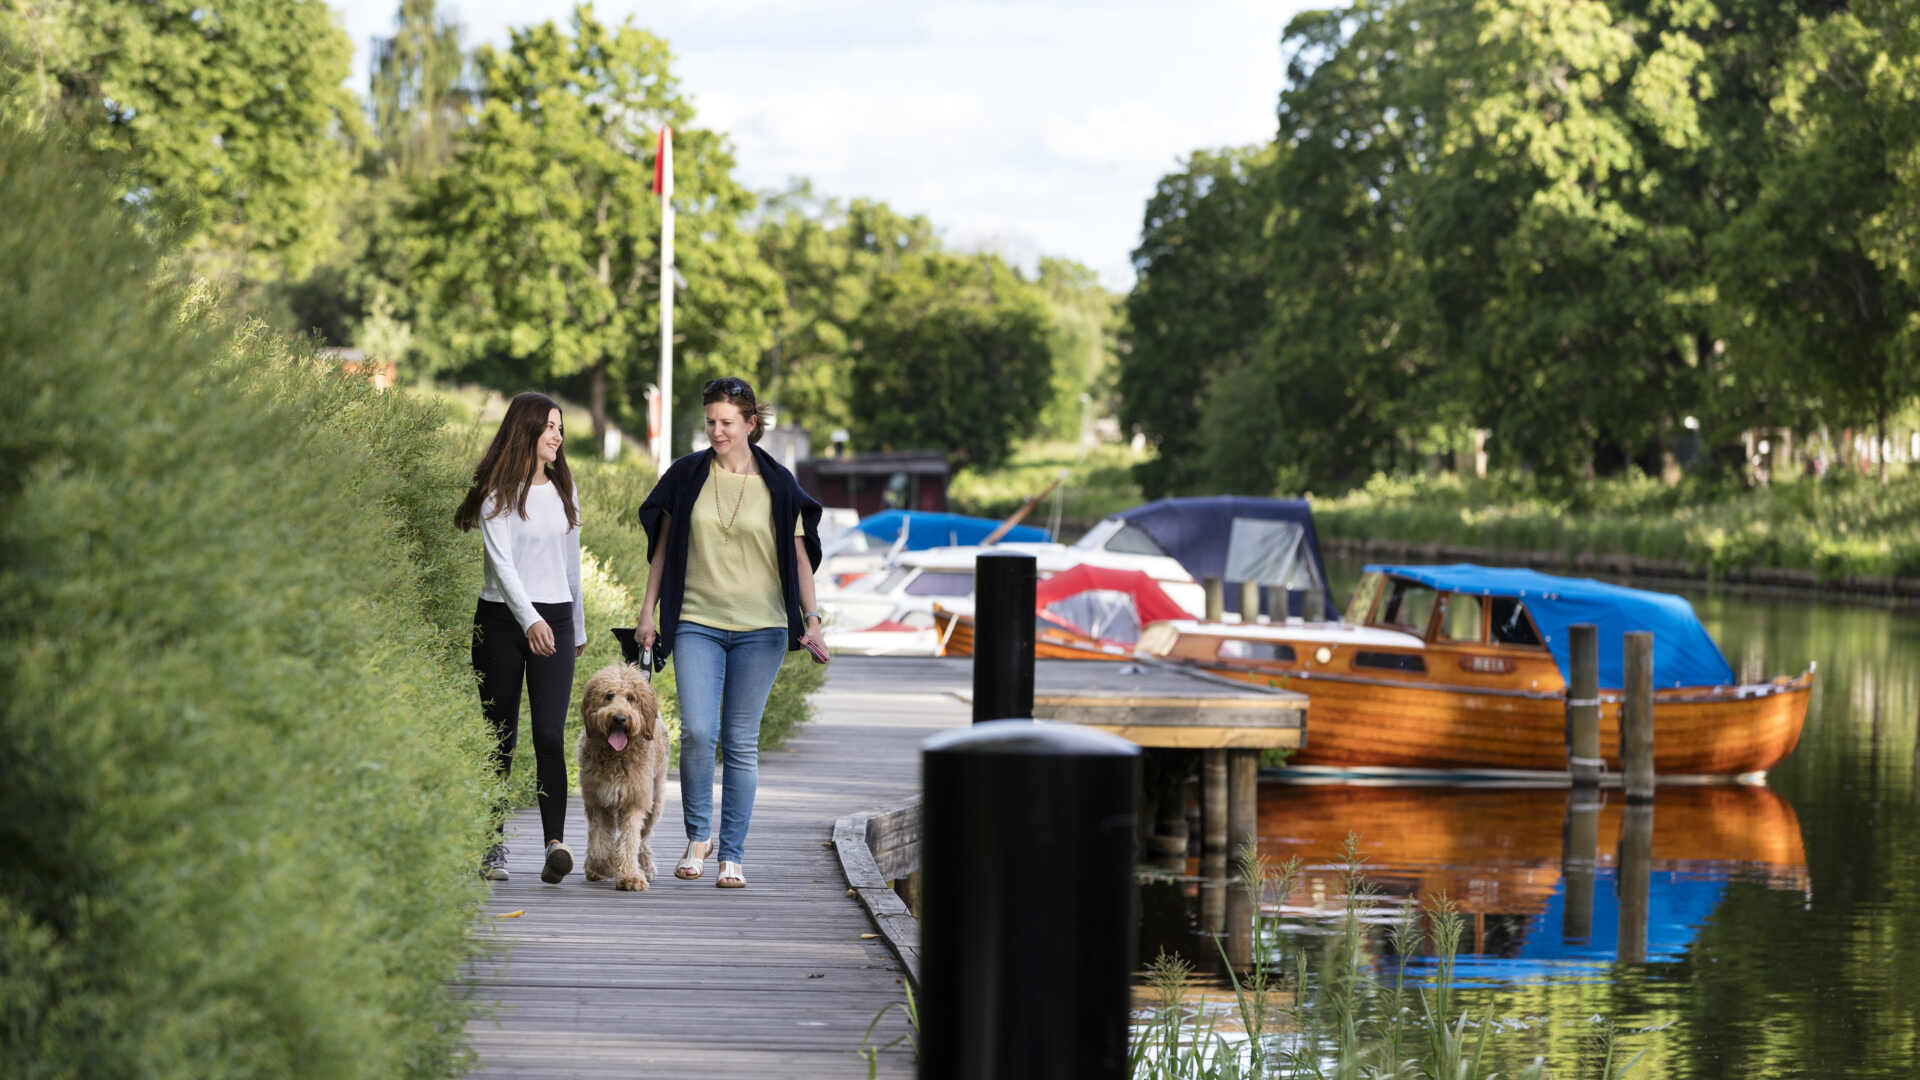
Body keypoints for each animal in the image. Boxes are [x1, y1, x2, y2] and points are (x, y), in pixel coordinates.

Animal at [576, 661, 668, 887]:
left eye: (631, 698)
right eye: (608, 695)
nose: (619, 718)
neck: (616, 756)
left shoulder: (635, 800)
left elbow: (629, 840)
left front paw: (630, 877)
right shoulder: (598, 801)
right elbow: (600, 843)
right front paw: (603, 866)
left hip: (655, 801)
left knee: (643, 838)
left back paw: (646, 867)